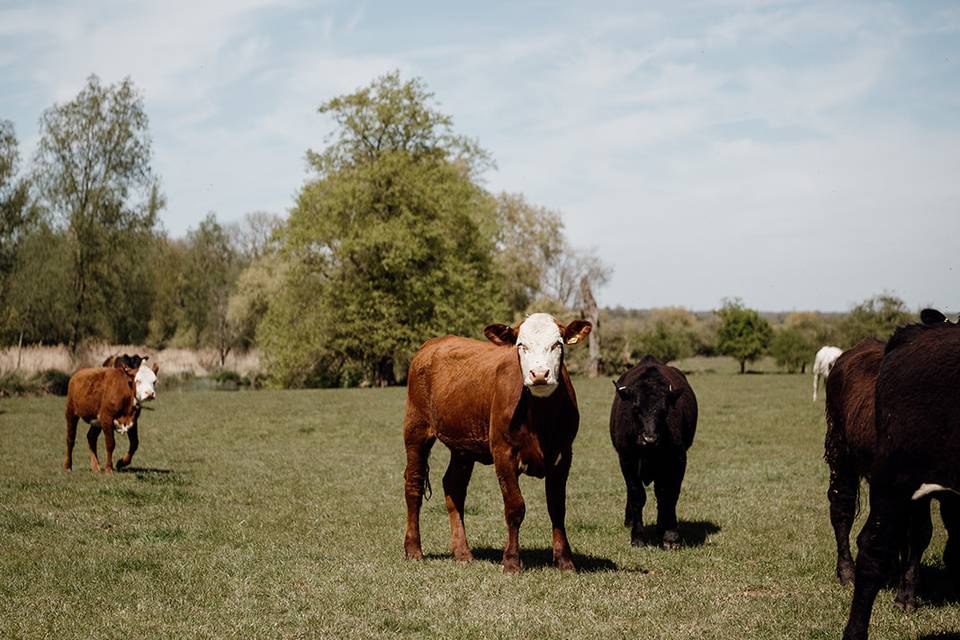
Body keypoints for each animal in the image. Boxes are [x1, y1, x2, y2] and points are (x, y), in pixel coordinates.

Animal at [402, 313, 591, 573]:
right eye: (521, 345)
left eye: (558, 344)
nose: (539, 374)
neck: (540, 419)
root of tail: (432, 344)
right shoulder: (503, 452)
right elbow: (515, 507)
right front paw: (511, 561)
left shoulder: (563, 455)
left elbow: (557, 507)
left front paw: (565, 561)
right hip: (416, 428)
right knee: (414, 484)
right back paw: (413, 549)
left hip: (462, 446)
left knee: (454, 487)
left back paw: (462, 552)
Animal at [610, 355, 698, 549]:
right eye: (635, 408)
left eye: (664, 411)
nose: (649, 439)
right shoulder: (626, 459)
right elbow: (636, 495)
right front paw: (637, 536)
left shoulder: (678, 460)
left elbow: (669, 494)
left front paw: (671, 536)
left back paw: (661, 526)